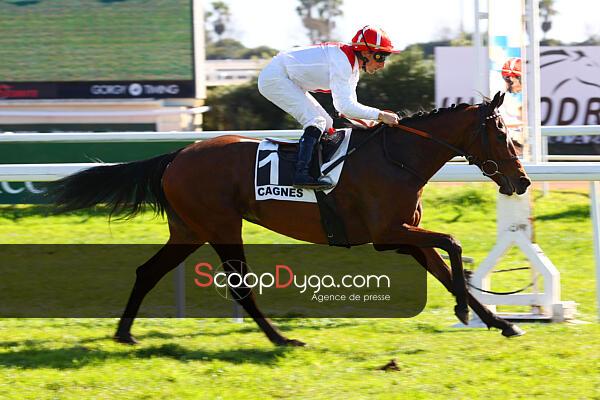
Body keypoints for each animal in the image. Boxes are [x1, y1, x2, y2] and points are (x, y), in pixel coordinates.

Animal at [50, 91, 531, 346]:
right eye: (502, 133)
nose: (522, 181)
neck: (398, 159)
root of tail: (177, 155)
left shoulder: (403, 235)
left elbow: (445, 269)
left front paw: (501, 322)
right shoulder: (388, 233)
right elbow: (452, 243)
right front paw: (466, 310)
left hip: (189, 229)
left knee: (147, 271)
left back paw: (125, 333)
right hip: (221, 225)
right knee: (239, 286)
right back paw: (280, 338)